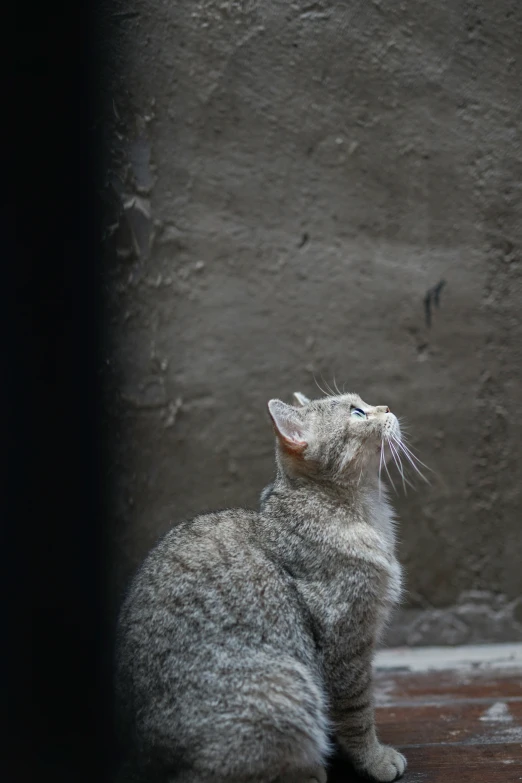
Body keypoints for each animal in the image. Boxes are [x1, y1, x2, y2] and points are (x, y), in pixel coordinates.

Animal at [116, 392, 408, 783]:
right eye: (357, 413)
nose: (387, 408)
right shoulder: (346, 644)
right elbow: (357, 713)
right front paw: (374, 759)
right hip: (288, 688)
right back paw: (307, 771)